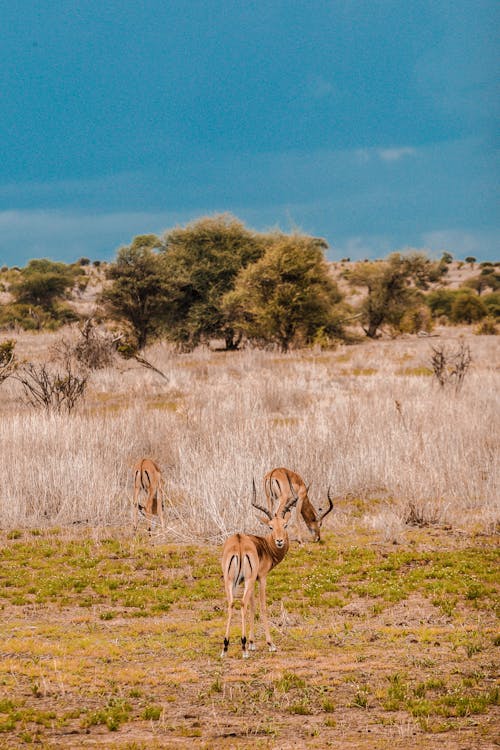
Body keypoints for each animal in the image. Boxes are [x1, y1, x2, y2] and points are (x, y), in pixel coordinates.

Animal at [222, 478, 298, 660]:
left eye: (285, 525)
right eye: (270, 527)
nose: (279, 541)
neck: (264, 546)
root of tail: (239, 542)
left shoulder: (245, 581)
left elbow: (252, 606)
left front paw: (252, 643)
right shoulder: (261, 577)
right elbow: (261, 606)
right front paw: (270, 644)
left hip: (230, 581)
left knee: (231, 604)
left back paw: (226, 647)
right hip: (247, 580)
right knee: (242, 603)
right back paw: (243, 649)